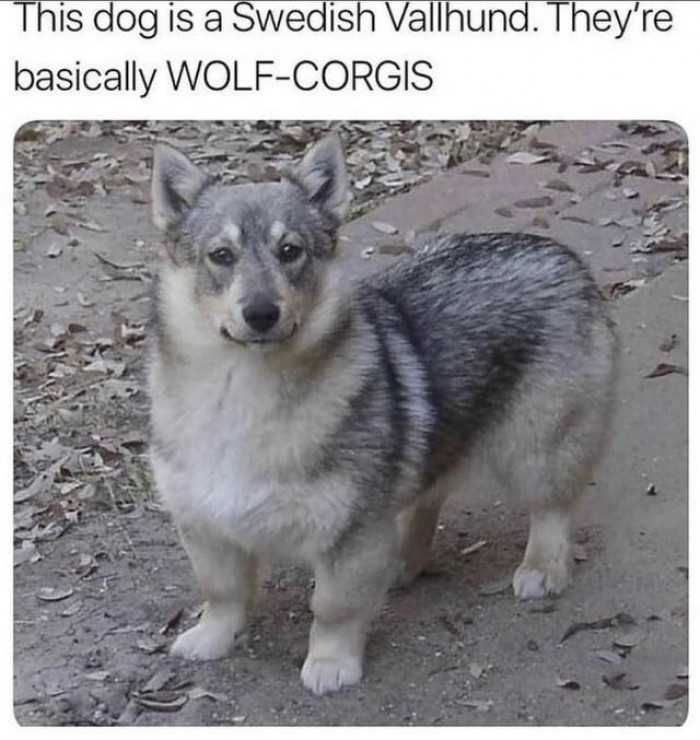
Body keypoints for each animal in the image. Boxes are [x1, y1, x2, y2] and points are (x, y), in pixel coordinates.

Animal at [148, 133, 618, 695]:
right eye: (221, 256)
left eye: (290, 251)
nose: (261, 313)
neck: (241, 388)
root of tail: (562, 254)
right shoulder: (205, 525)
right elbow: (222, 592)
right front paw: (213, 637)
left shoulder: (349, 532)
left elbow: (332, 607)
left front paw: (331, 662)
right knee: (427, 497)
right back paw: (402, 560)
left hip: (537, 448)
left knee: (550, 509)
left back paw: (543, 567)